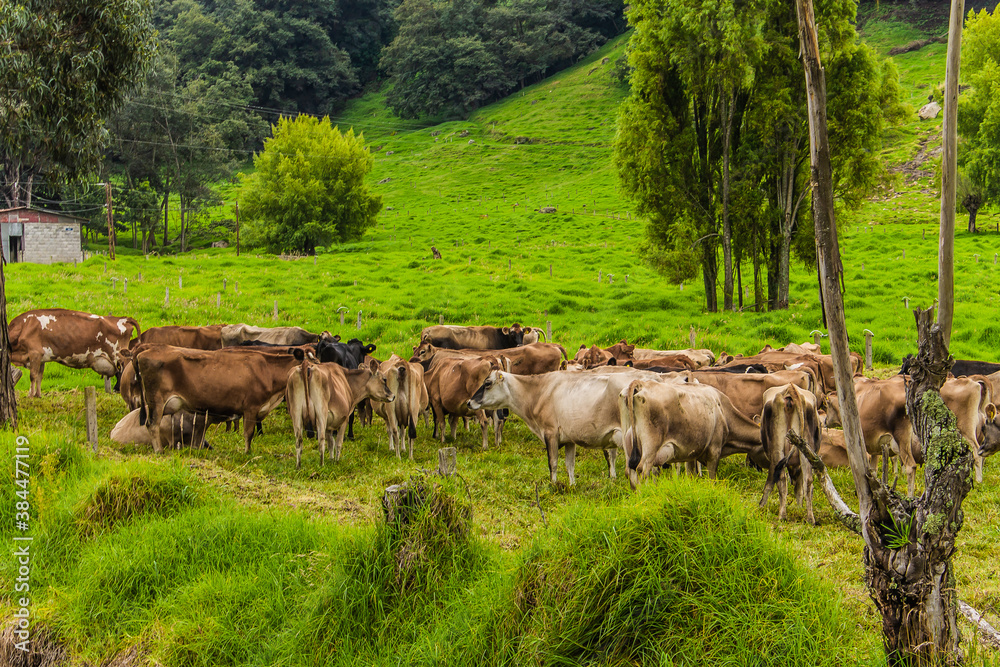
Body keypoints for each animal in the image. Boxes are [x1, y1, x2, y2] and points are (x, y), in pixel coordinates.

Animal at [9, 308, 140, 396]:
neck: (24, 326)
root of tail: (123, 318)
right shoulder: (41, 358)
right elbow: (39, 376)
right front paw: (38, 395)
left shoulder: (34, 353)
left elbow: (33, 376)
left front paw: (30, 395)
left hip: (119, 355)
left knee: (124, 370)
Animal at [135, 344, 304, 454]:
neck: (267, 370)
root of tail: (145, 351)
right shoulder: (251, 407)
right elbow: (248, 433)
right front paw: (247, 453)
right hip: (156, 401)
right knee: (152, 424)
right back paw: (159, 451)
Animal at [616, 380, 764, 490]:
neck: (724, 412)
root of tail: (641, 383)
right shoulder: (714, 451)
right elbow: (712, 480)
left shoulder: (691, 453)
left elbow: (691, 475)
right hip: (651, 446)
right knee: (642, 469)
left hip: (629, 444)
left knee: (630, 472)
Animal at [756, 384, 820, 524]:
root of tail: (791, 388)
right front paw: (799, 507)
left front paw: (761, 505)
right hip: (806, 448)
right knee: (808, 480)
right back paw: (810, 519)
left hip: (777, 448)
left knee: (781, 479)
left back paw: (782, 515)